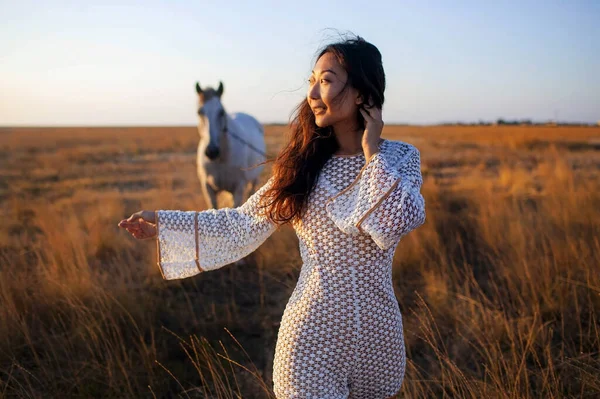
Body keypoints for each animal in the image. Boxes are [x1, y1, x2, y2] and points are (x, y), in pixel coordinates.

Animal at [196, 81, 266, 209]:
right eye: (199, 112)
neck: (221, 159)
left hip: (254, 179)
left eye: (221, 112)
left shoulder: (238, 188)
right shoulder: (208, 189)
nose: (212, 151)